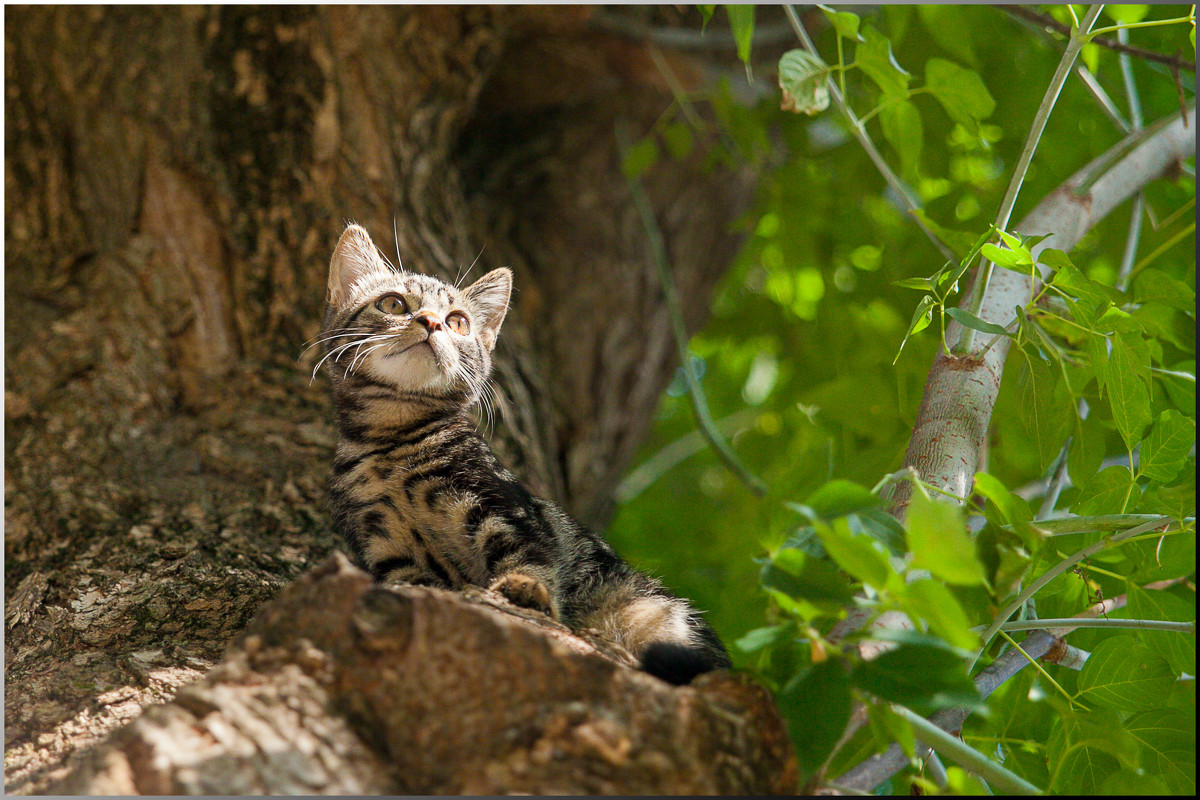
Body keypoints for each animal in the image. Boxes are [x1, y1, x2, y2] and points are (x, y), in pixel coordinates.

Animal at [319, 221, 724, 686]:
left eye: (458, 322)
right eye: (393, 303)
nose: (431, 322)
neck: (393, 438)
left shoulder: (502, 503)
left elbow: (527, 553)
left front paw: (526, 587)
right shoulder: (384, 542)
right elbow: (413, 581)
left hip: (650, 608)